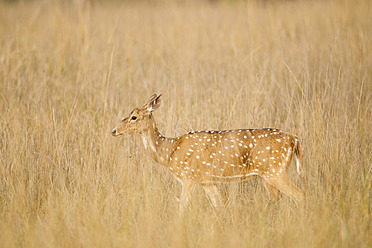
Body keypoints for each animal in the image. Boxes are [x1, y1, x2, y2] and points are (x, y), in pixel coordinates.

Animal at [112, 94, 304, 212]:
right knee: (276, 196)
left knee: (300, 195)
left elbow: (182, 209)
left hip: (275, 171)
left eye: (134, 117)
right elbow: (219, 206)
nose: (114, 130)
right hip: (268, 175)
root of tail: (293, 139)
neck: (169, 152)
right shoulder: (207, 182)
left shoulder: (189, 178)